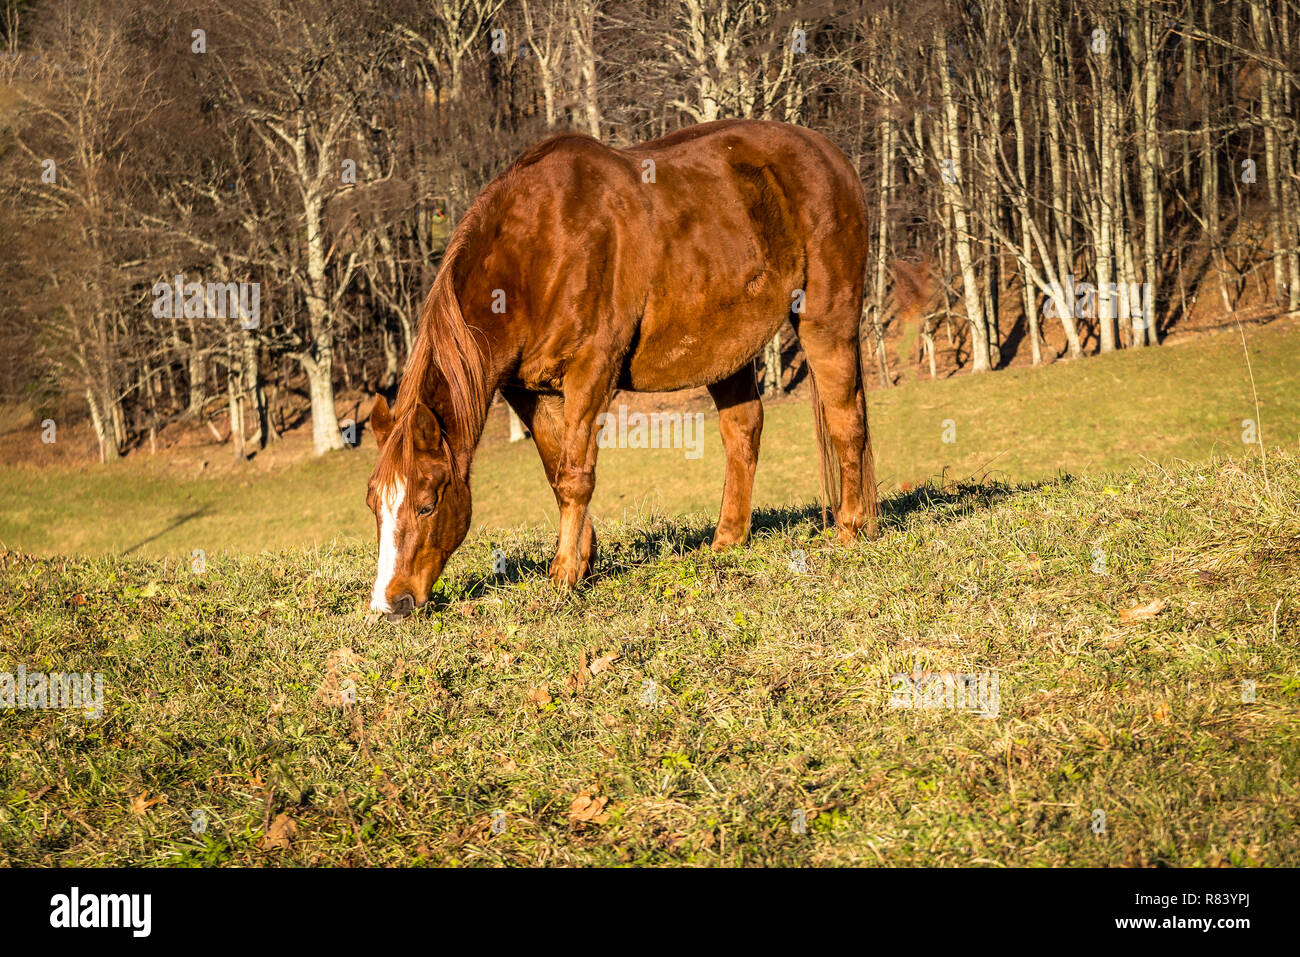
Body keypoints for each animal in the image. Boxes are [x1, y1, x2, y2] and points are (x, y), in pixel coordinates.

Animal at [367, 118, 880, 620]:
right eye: (374, 504)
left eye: (426, 505)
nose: (390, 604)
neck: (538, 252)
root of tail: (832, 157)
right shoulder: (529, 391)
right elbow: (557, 472)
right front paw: (583, 559)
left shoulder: (592, 372)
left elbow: (576, 476)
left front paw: (564, 575)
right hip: (727, 346)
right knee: (743, 431)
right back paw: (727, 541)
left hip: (826, 319)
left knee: (846, 420)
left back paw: (853, 527)